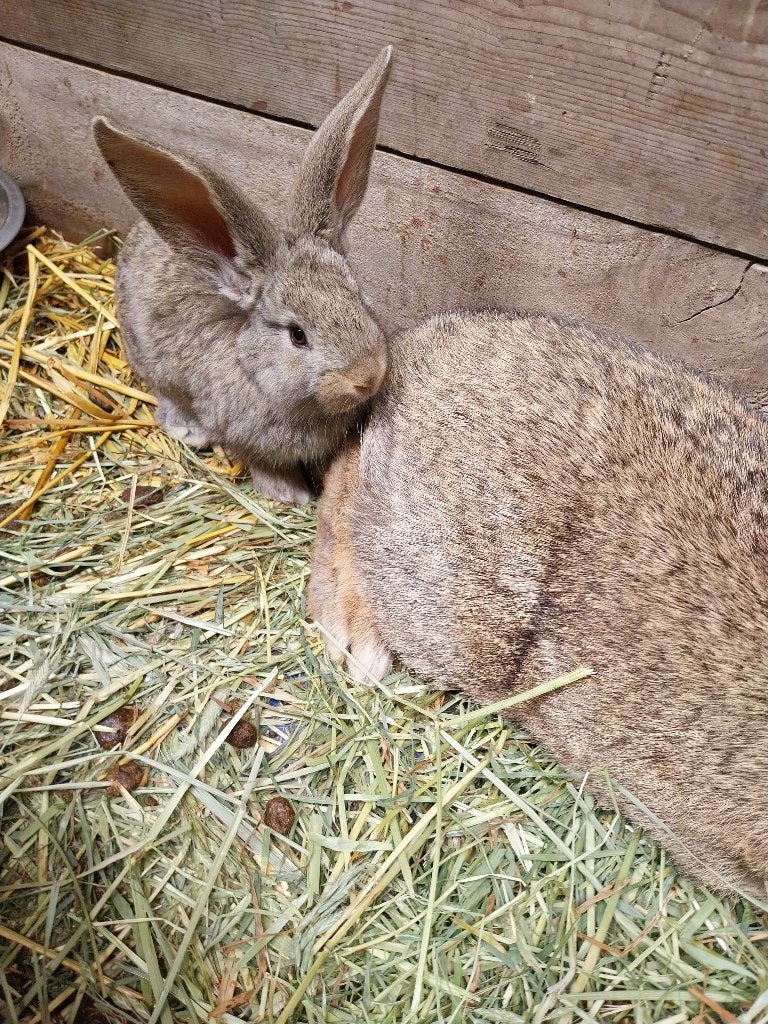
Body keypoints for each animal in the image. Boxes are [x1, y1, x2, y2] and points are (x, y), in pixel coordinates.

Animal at [92, 47, 393, 503]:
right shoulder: (243, 436)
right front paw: (290, 495)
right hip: (149, 361)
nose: (367, 376)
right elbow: (262, 464)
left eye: (359, 299)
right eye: (297, 335)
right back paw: (188, 430)